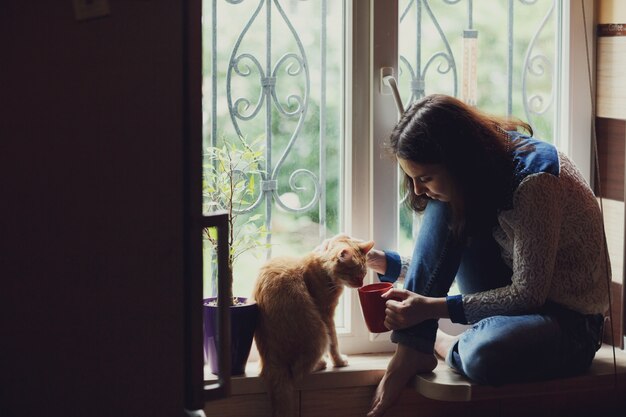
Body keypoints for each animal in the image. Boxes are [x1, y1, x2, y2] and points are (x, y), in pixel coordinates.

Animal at [250, 234, 376, 416]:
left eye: (364, 274)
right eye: (355, 275)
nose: (361, 285)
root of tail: (272, 363)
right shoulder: (327, 315)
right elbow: (334, 344)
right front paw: (339, 361)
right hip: (320, 333)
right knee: (298, 370)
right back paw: (321, 363)